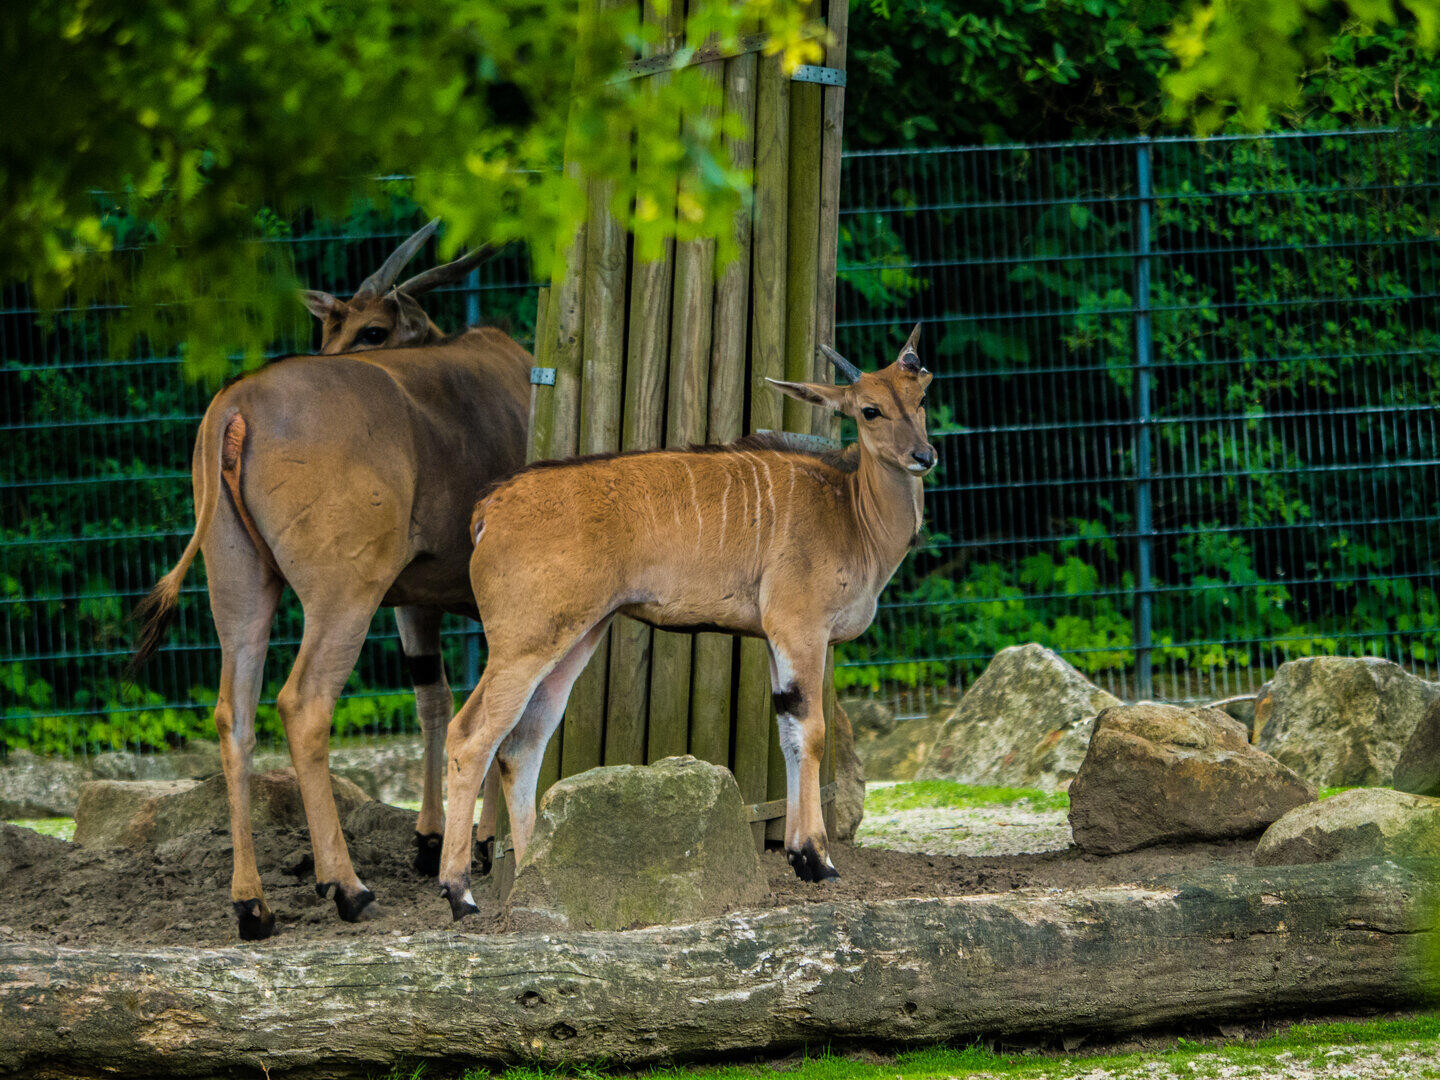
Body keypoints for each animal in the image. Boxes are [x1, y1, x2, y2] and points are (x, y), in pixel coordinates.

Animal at [130, 221, 527, 941]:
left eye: (372, 329)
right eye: (333, 328)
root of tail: (236, 406)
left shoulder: (416, 603)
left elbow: (434, 696)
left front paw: (431, 841)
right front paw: (479, 846)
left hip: (240, 589)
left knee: (233, 714)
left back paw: (252, 905)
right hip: (344, 596)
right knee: (302, 703)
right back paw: (347, 887)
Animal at [436, 326, 935, 920]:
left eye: (921, 398)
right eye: (869, 409)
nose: (924, 456)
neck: (850, 510)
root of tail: (491, 505)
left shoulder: (777, 640)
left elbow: (789, 732)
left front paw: (799, 856)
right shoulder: (800, 629)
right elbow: (811, 733)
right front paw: (819, 860)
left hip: (575, 638)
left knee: (521, 744)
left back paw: (537, 875)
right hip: (524, 643)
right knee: (470, 737)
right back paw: (459, 893)